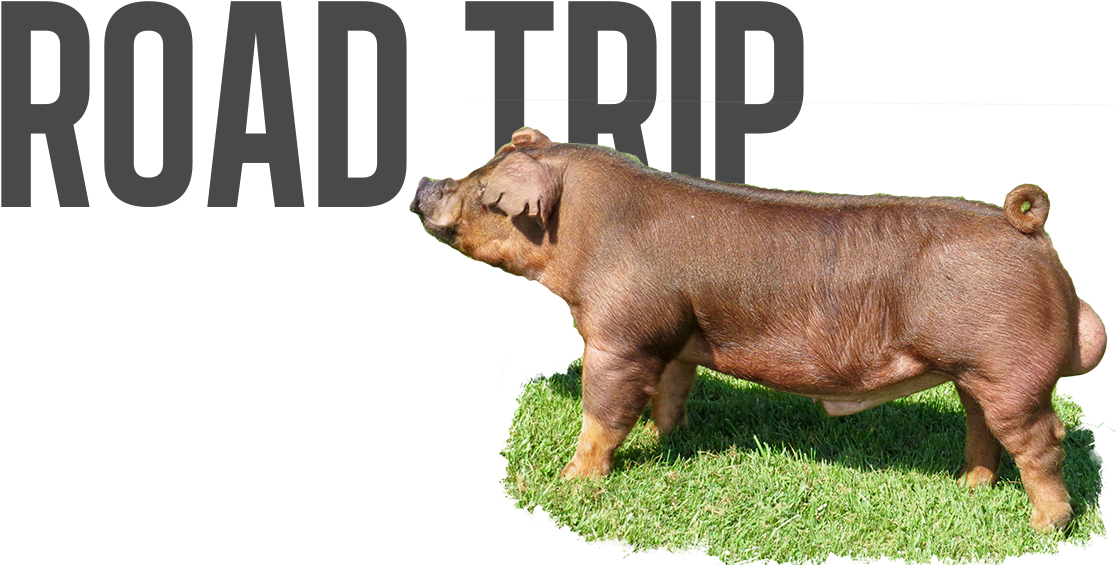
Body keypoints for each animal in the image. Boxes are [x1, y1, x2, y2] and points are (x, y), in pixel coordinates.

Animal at [410, 127, 1106, 532]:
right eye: (477, 169)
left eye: (483, 190)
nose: (422, 182)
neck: (582, 230)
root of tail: (1026, 228)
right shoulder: (675, 335)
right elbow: (671, 391)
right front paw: (668, 441)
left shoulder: (622, 334)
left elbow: (603, 410)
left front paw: (570, 482)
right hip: (975, 371)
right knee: (981, 426)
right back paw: (968, 487)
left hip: (1010, 368)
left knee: (1042, 439)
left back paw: (1046, 527)